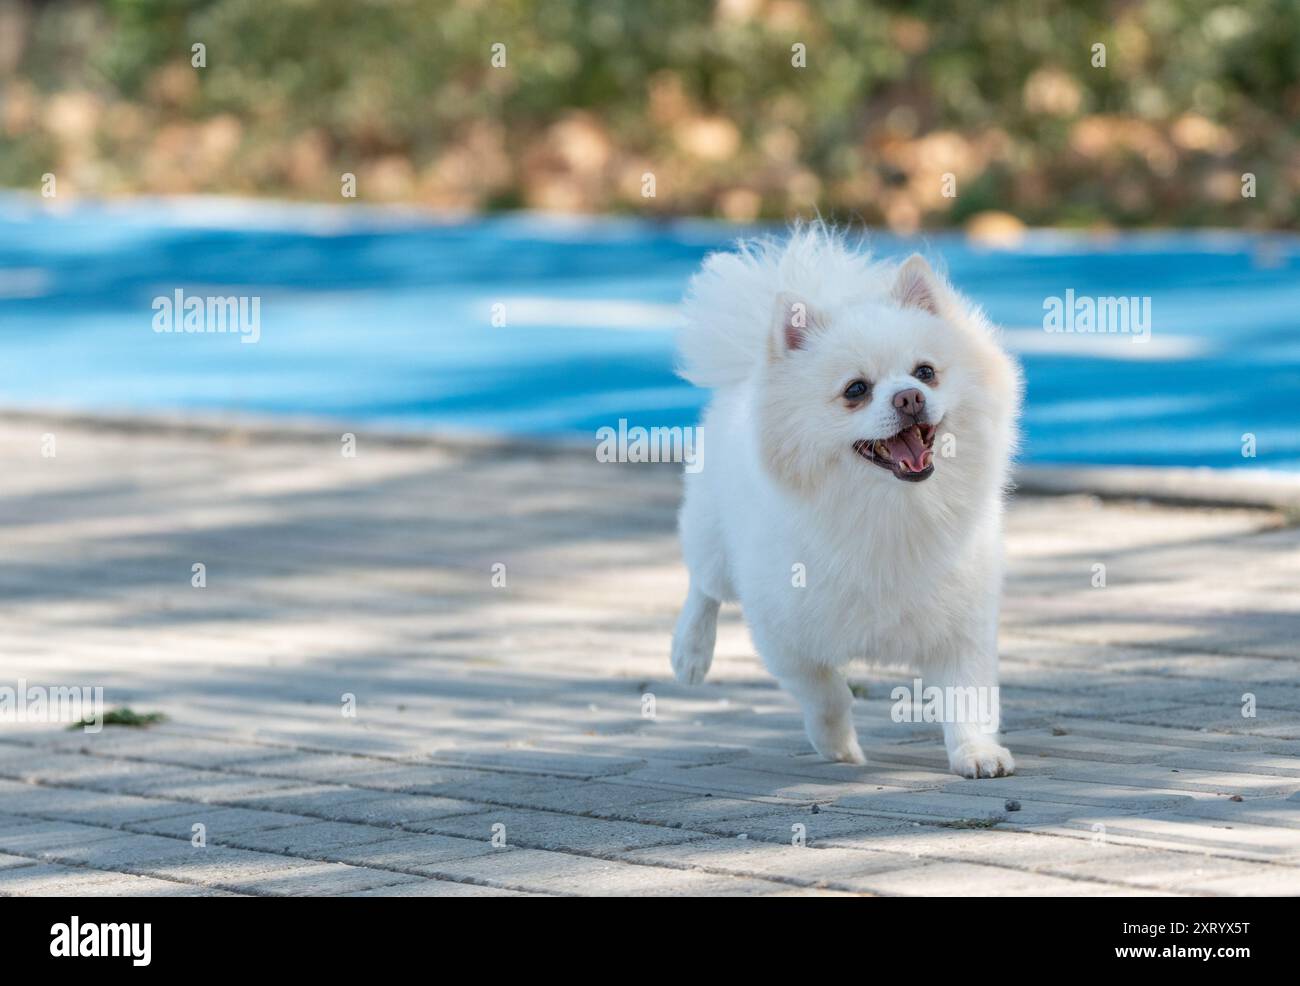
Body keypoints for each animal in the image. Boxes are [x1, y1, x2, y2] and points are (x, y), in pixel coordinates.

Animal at [676, 227, 1019, 785]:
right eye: (856, 390)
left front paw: (976, 753)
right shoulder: (783, 635)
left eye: (926, 372)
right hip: (714, 544)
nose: (908, 397)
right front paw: (837, 745)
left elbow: (967, 698)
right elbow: (827, 693)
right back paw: (689, 653)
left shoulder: (962, 625)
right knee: (703, 586)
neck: (891, 510)